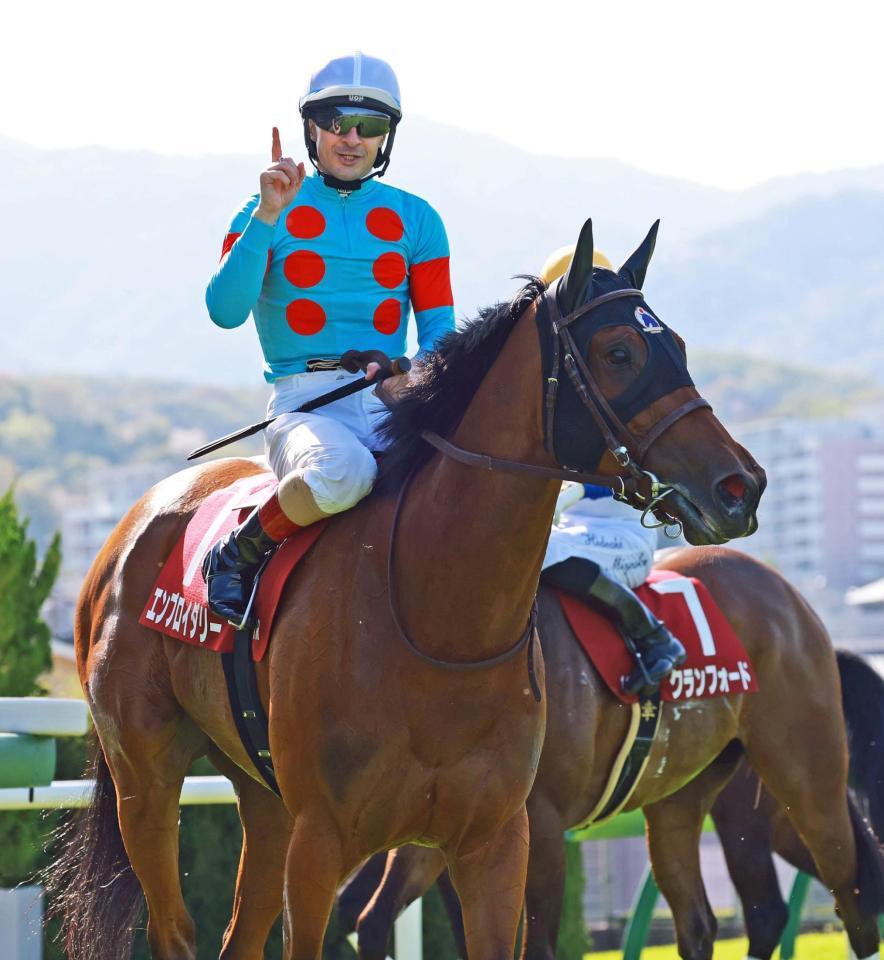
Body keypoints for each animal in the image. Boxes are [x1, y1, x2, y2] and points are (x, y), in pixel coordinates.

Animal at [44, 218, 763, 960]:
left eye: (678, 347)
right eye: (619, 351)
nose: (740, 485)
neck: (438, 624)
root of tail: (131, 524)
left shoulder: (495, 840)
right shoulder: (323, 841)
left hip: (262, 797)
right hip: (146, 779)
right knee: (174, 925)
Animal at [341, 554, 884, 960]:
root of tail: (788, 595)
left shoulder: (540, 824)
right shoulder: (448, 821)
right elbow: (373, 918)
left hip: (799, 777)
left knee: (848, 891)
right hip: (687, 801)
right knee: (706, 922)